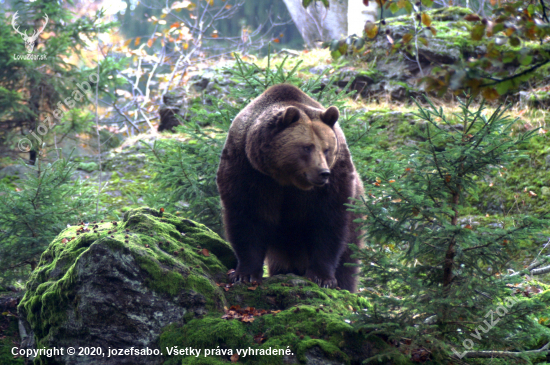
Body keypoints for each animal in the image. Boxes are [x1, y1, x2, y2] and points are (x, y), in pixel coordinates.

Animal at [217, 82, 366, 290]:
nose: (323, 173)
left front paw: (322, 278)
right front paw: (244, 274)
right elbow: (247, 217)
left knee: (348, 260)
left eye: (327, 149)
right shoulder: (249, 171)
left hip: (356, 218)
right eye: (307, 147)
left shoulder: (334, 181)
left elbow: (329, 223)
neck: (286, 179)